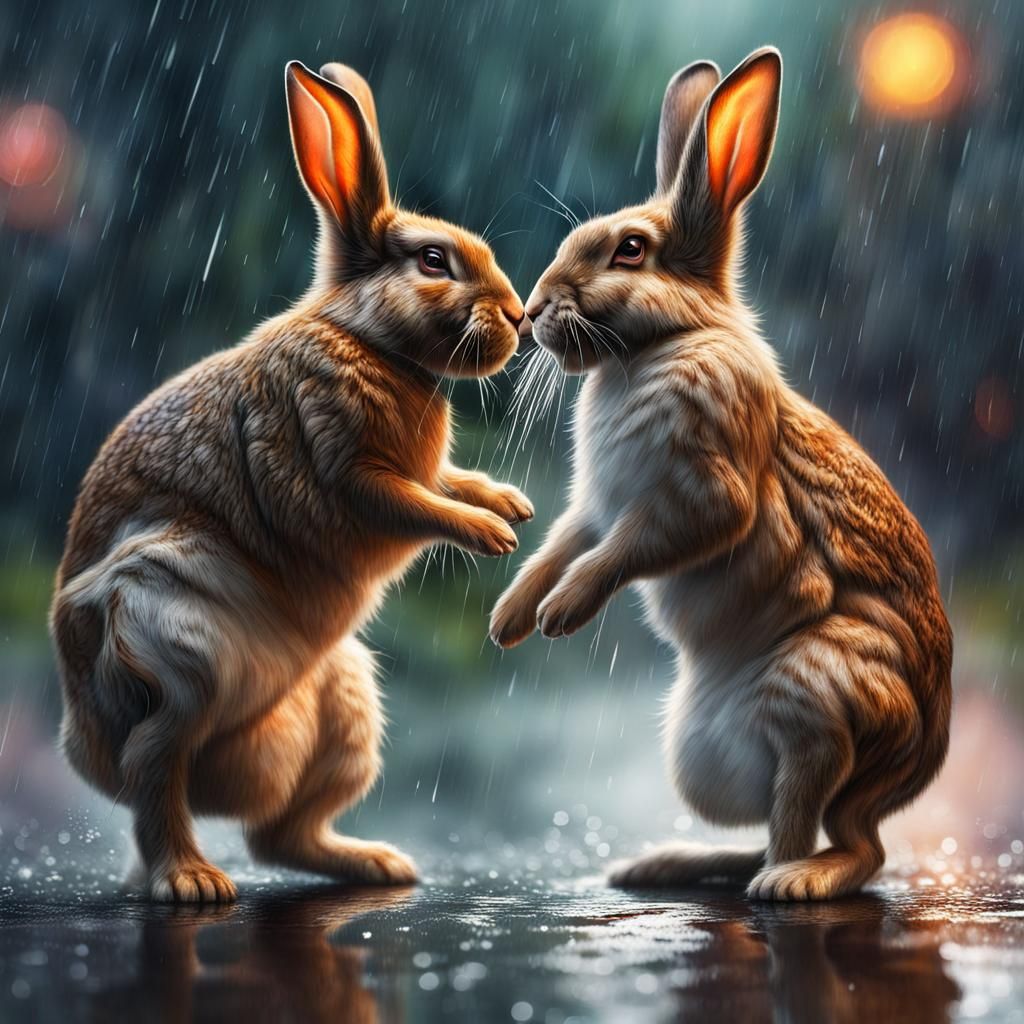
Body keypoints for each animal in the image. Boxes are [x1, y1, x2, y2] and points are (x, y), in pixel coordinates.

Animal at [49, 60, 532, 902]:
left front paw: (511, 504)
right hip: (176, 648)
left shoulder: (423, 469)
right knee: (154, 771)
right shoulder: (344, 462)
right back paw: (193, 882)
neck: (367, 338)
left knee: (277, 833)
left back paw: (379, 865)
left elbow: (453, 479)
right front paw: (492, 534)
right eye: (433, 261)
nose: (518, 315)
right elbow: (412, 503)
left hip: (347, 701)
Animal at [490, 47, 952, 901]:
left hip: (814, 698)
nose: (531, 310)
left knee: (850, 845)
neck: (659, 344)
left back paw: (790, 885)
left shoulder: (699, 497)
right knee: (783, 833)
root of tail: (912, 772)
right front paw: (510, 621)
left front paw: (561, 615)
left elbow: (621, 555)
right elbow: (562, 545)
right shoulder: (598, 504)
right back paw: (664, 866)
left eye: (630, 249)